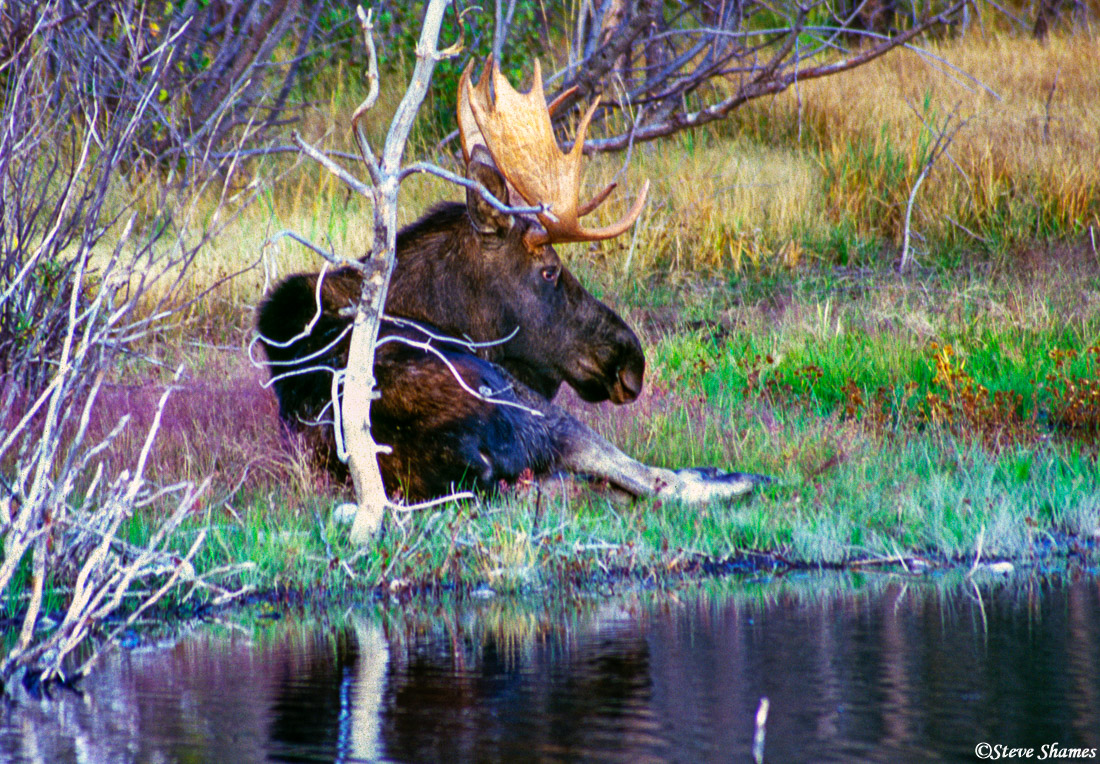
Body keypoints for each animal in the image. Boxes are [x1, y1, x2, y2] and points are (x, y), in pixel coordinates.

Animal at [258, 62, 770, 510]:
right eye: (549, 271)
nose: (631, 361)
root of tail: (463, 459)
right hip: (534, 411)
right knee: (654, 481)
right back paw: (740, 477)